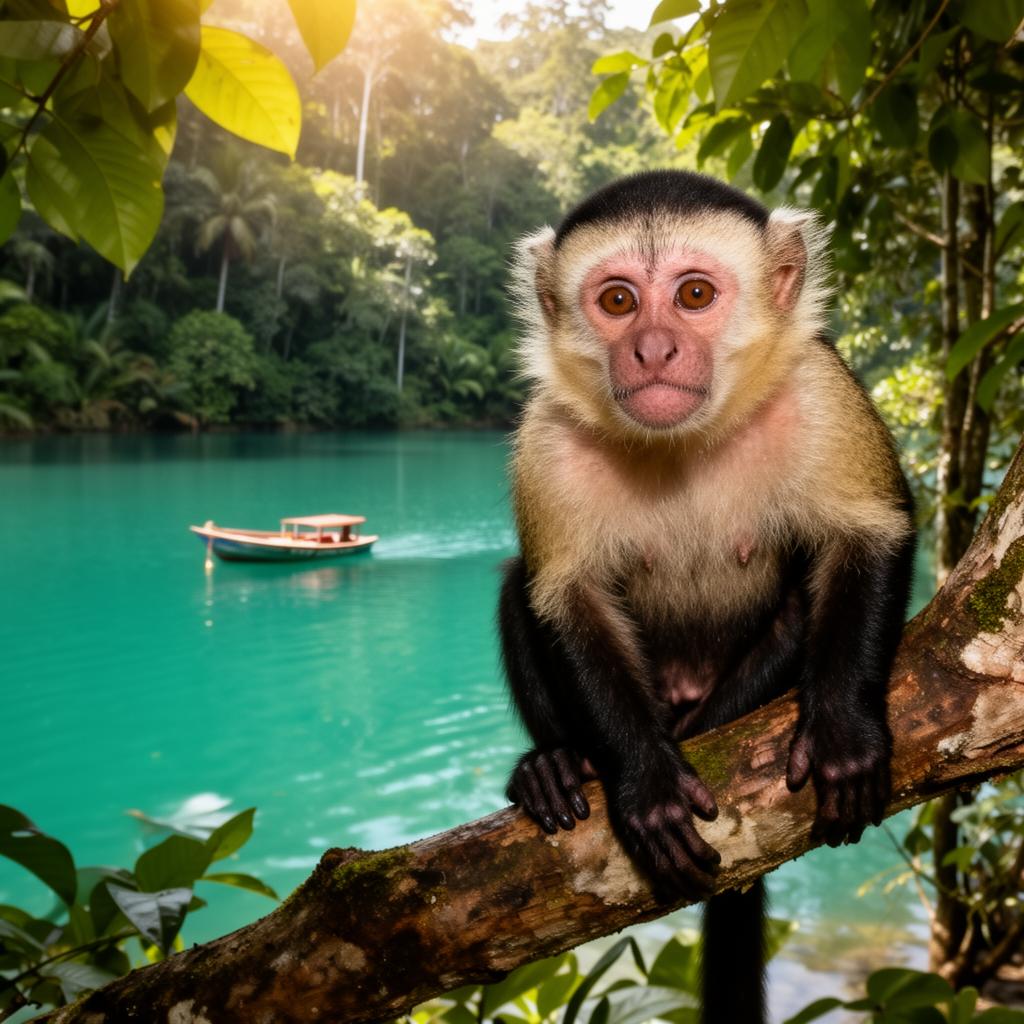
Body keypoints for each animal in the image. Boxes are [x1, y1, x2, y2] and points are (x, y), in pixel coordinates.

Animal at [497, 170, 915, 1024]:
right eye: (618, 301)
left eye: (694, 295)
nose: (653, 348)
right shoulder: (545, 436)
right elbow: (565, 601)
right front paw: (645, 781)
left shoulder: (821, 389)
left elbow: (870, 535)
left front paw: (845, 731)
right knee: (518, 589)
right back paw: (554, 765)